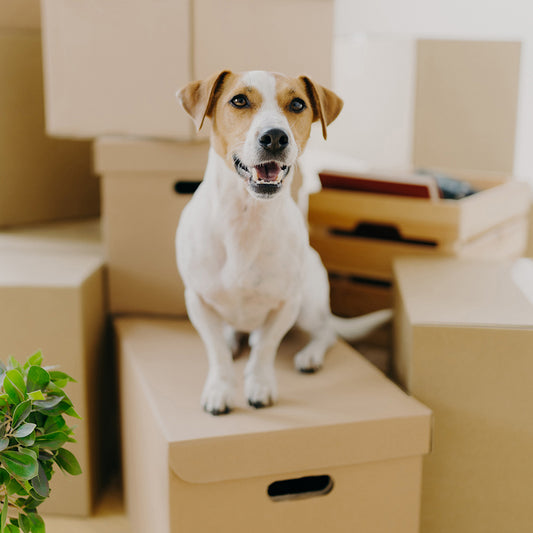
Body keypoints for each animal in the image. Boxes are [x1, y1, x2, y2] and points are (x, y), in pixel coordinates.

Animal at [177, 69, 388, 416]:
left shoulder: (287, 304)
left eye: (298, 104)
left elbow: (265, 348)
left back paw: (310, 354)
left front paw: (259, 385)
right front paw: (220, 388)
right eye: (239, 100)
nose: (275, 137)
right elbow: (217, 352)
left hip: (309, 306)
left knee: (327, 332)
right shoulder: (198, 301)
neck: (246, 217)